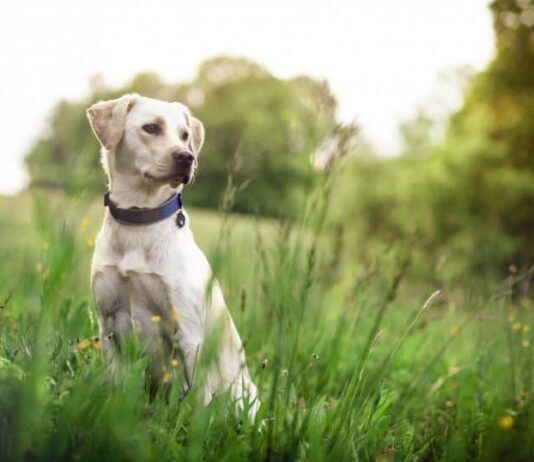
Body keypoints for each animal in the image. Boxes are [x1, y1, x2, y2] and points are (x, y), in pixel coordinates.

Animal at [86, 94, 260, 418]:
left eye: (184, 135)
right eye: (151, 127)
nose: (186, 157)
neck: (139, 218)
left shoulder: (188, 334)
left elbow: (195, 402)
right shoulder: (108, 324)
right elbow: (116, 383)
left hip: (245, 397)